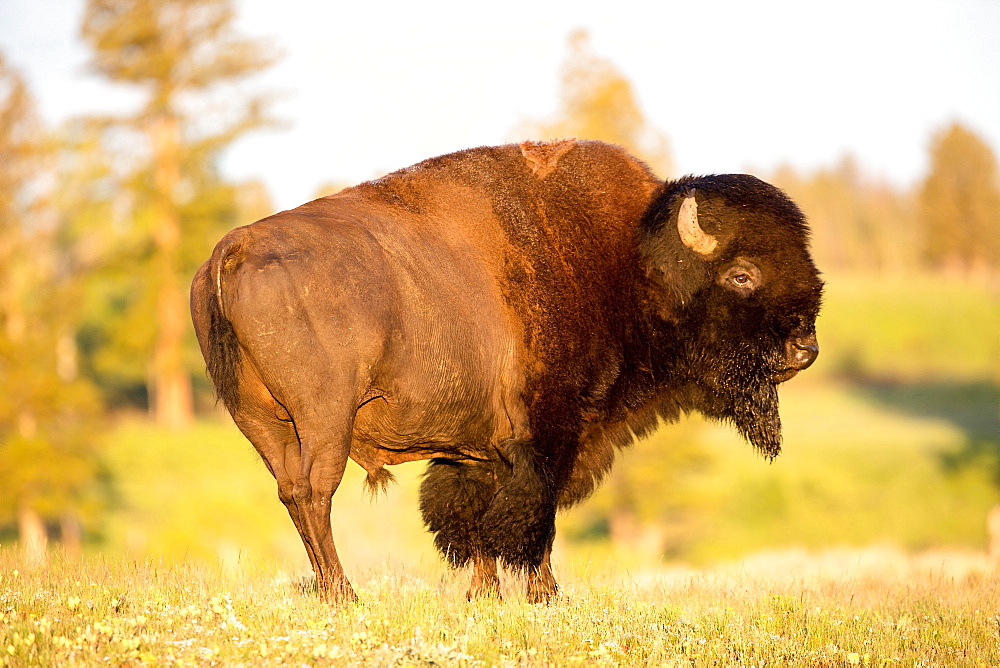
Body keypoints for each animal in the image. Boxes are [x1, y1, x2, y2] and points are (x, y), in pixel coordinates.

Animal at [188, 138, 820, 604]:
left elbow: (473, 517)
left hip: (261, 423)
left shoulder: (475, 450)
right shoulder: (552, 433)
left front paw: (485, 594)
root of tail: (233, 251)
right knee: (317, 493)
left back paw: (331, 589)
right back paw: (345, 593)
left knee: (292, 493)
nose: (804, 350)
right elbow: (533, 515)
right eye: (741, 274)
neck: (629, 261)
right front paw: (546, 595)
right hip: (325, 420)